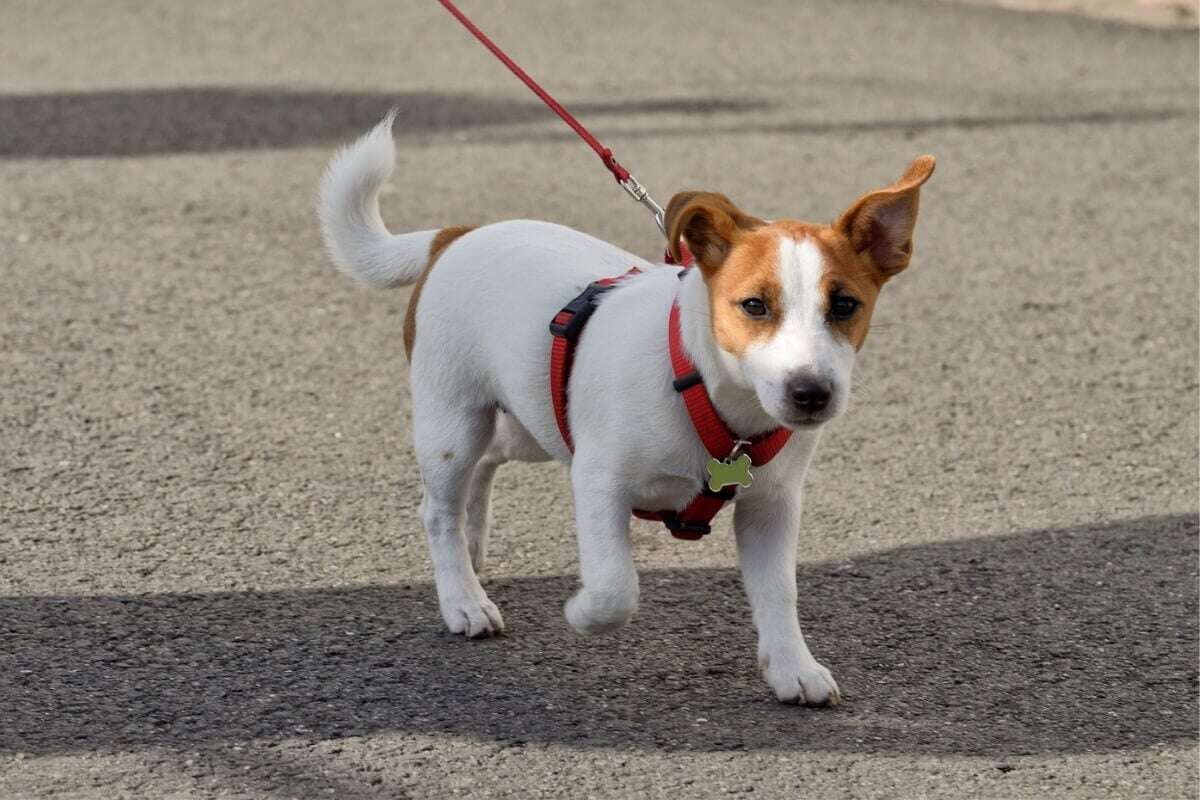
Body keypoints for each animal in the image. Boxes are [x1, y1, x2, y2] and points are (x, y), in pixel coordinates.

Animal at [321, 113, 936, 705]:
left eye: (845, 305)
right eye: (754, 305)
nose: (811, 392)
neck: (705, 390)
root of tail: (456, 236)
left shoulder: (772, 506)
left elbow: (779, 591)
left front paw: (793, 667)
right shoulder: (598, 481)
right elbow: (617, 587)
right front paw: (582, 612)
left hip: (530, 418)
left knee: (488, 462)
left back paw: (473, 553)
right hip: (452, 422)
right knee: (438, 510)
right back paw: (463, 600)